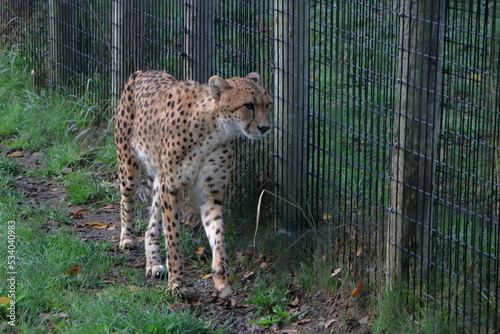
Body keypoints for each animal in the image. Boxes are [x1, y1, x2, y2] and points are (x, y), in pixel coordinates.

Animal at [114, 69, 274, 298]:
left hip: (158, 181)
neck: (215, 129)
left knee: (151, 225)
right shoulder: (171, 187)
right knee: (126, 200)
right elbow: (173, 238)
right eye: (249, 105)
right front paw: (177, 283)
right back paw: (127, 238)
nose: (265, 128)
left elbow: (218, 234)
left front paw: (221, 279)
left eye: (268, 104)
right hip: (129, 165)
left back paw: (153, 264)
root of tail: (143, 71)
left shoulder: (210, 192)